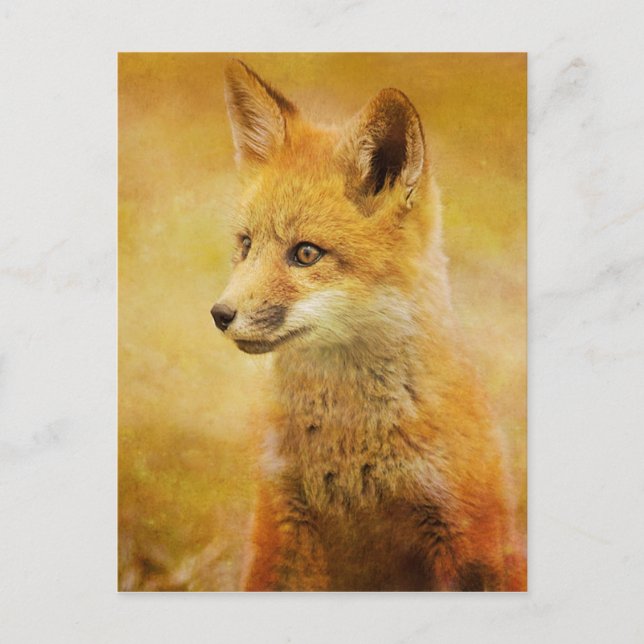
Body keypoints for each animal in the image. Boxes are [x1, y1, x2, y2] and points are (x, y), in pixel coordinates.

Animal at [211, 59, 526, 591]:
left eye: (306, 254)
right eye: (246, 244)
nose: (220, 315)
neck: (348, 448)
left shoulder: (464, 533)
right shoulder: (279, 523)